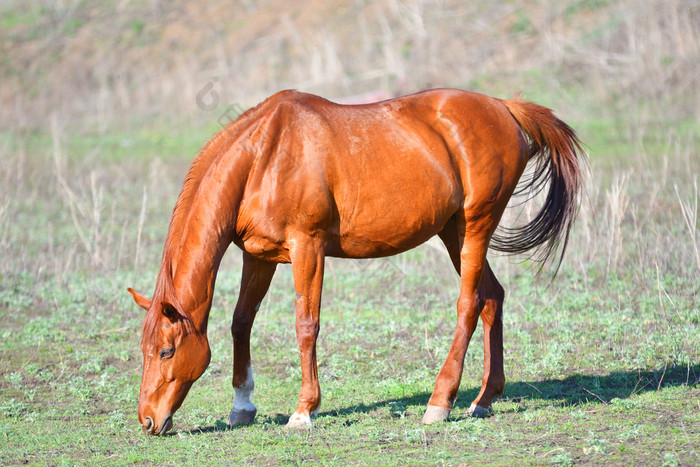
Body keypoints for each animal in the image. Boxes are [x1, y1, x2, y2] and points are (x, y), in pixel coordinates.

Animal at [127, 88, 584, 436]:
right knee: (492, 298)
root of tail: (504, 107)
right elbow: (241, 322)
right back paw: (485, 399)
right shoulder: (258, 257)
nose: (148, 420)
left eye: (166, 351)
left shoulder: (308, 248)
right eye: (145, 351)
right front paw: (242, 406)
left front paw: (304, 411)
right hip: (453, 232)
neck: (262, 157)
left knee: (469, 304)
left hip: (476, 226)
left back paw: (440, 401)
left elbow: (306, 326)